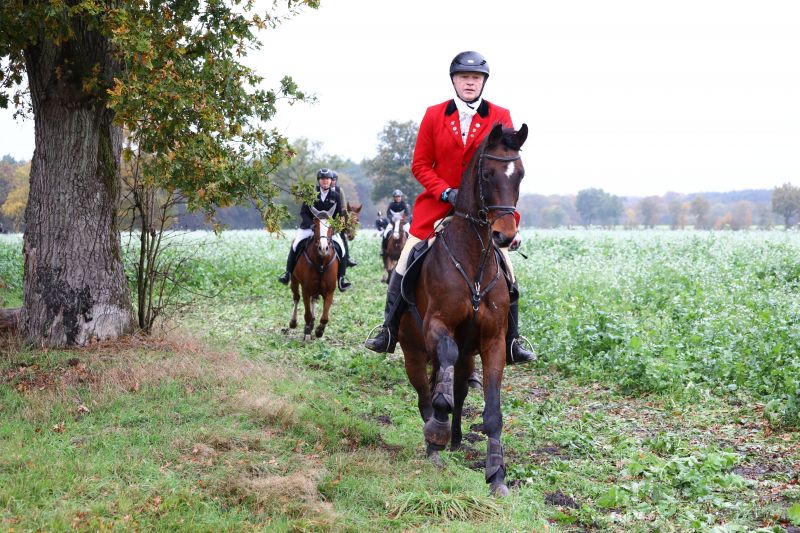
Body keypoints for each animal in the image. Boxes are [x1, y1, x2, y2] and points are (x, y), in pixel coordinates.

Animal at [288, 206, 339, 340]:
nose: (323, 248)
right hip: (294, 281)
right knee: (296, 298)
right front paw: (307, 331)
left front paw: (319, 330)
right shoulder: (306, 289)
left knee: (314, 300)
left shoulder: (330, 291)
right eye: (315, 225)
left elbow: (325, 317)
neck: (321, 261)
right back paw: (294, 322)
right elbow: (307, 313)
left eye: (331, 226)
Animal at [397, 123, 528, 496]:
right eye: (486, 174)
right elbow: (441, 378)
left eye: (520, 174)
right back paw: (435, 444)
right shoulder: (437, 326)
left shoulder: (493, 341)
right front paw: (436, 433)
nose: (505, 236)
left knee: (456, 385)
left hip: (469, 353)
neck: (473, 260)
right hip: (412, 351)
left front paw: (497, 475)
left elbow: (492, 410)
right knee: (425, 395)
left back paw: (454, 440)